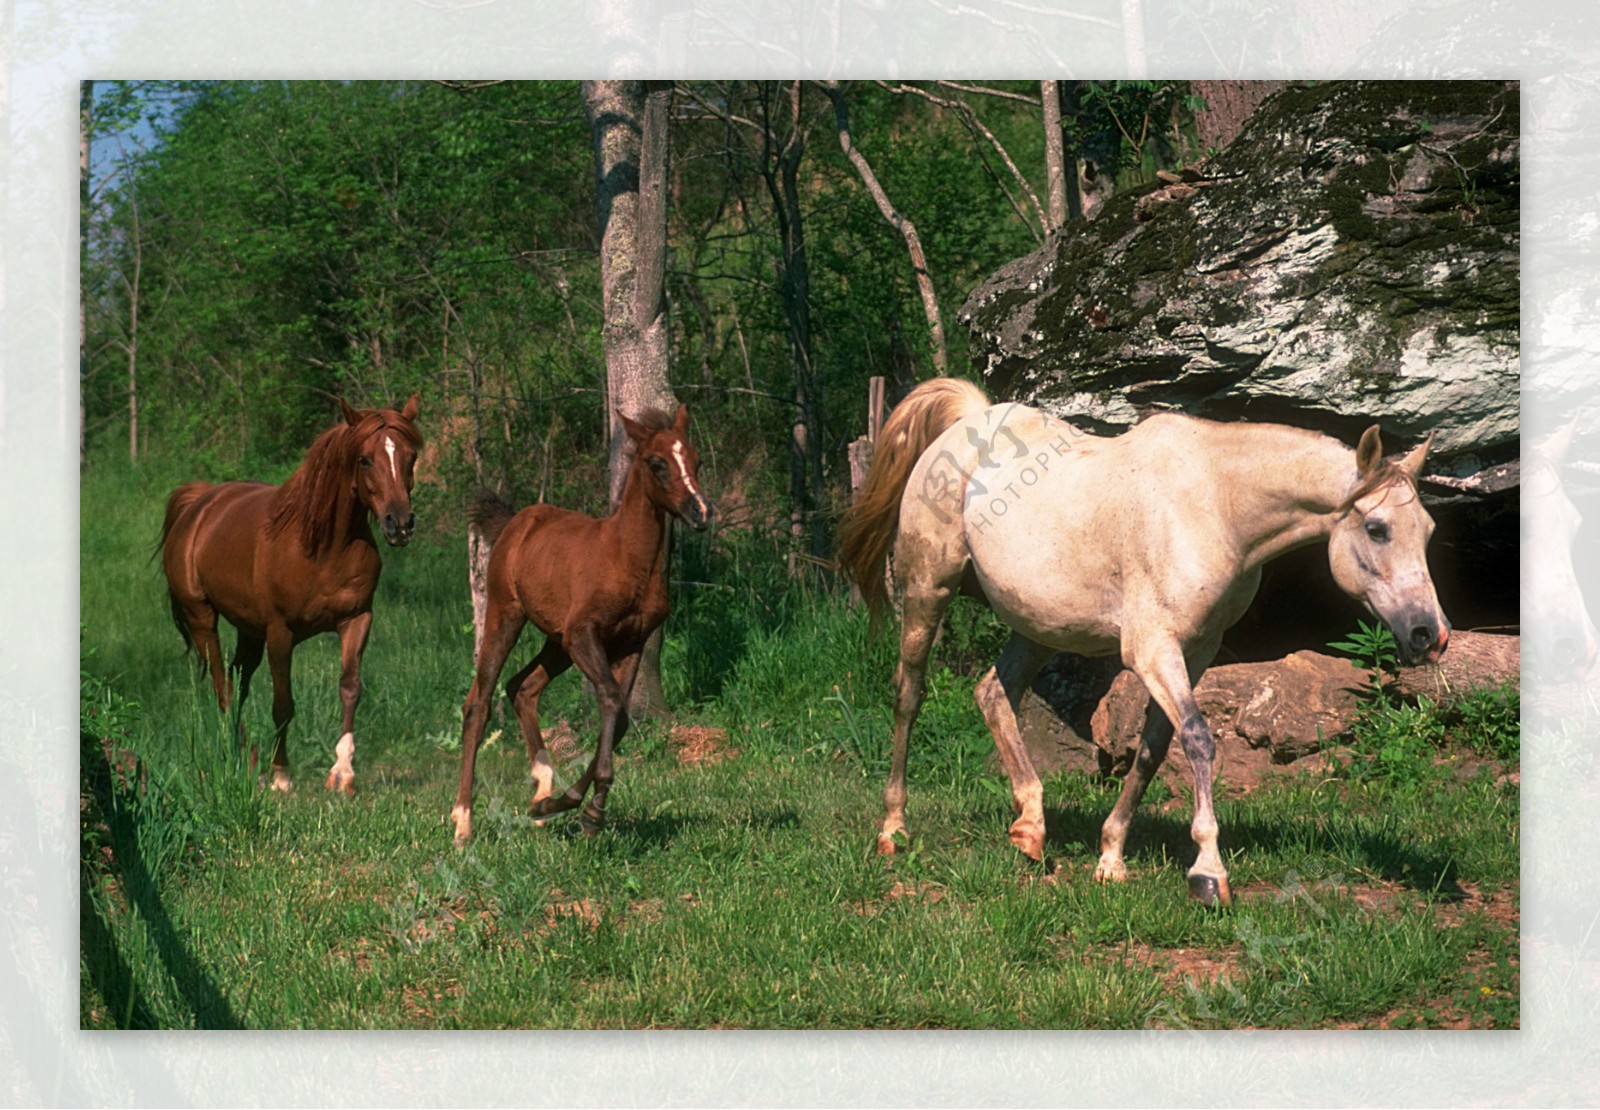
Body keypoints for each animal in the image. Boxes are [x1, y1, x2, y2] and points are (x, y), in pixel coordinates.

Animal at [154, 395, 419, 796]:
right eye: (364, 459)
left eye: (410, 456)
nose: (399, 524)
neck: (324, 548)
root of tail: (199, 504)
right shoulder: (281, 633)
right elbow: (283, 703)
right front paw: (281, 774)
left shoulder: (356, 620)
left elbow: (350, 688)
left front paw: (342, 772)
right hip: (203, 619)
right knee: (221, 685)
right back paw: (250, 761)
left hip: (249, 631)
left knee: (236, 681)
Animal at [457, 404, 720, 850]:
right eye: (657, 463)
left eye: (697, 461)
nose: (700, 512)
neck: (627, 559)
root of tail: (516, 522)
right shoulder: (585, 635)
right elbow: (612, 702)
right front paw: (589, 811)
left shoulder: (631, 642)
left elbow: (620, 717)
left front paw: (569, 805)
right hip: (506, 615)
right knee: (479, 702)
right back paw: (462, 822)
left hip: (556, 641)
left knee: (522, 687)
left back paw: (542, 794)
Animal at [838, 379, 1452, 908]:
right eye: (1376, 529)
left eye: (1428, 532)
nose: (1431, 635)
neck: (1215, 506)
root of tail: (970, 418)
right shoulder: (1154, 650)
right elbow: (1199, 739)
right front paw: (1208, 873)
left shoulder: (1197, 651)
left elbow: (1155, 749)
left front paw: (1111, 857)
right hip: (927, 591)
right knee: (909, 694)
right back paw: (894, 829)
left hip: (1036, 626)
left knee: (993, 693)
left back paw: (1031, 827)